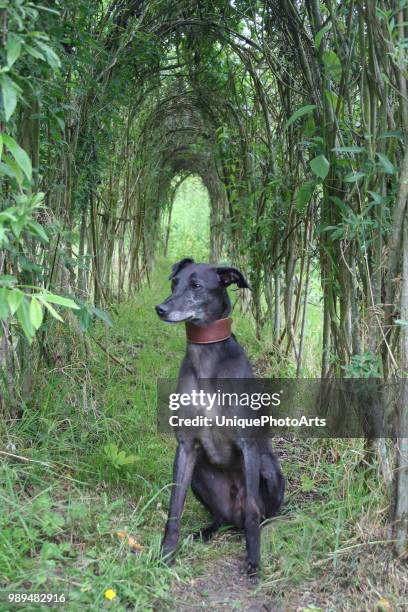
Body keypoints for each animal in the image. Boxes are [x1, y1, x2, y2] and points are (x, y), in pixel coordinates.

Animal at [156, 256, 284, 580]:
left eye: (196, 285)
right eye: (174, 283)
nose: (160, 309)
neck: (206, 359)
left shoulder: (248, 445)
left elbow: (252, 511)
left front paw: (254, 562)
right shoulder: (186, 446)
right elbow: (174, 508)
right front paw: (166, 555)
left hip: (269, 468)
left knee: (258, 513)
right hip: (200, 475)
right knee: (220, 517)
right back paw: (207, 530)